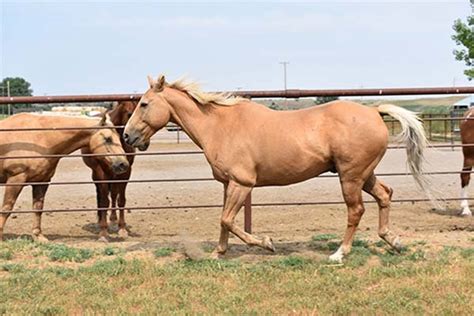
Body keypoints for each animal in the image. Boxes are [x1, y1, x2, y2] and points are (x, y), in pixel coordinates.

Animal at [0, 115, 130, 241]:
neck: (40, 137)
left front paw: (38, 236)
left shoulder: (42, 182)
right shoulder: (16, 179)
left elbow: (38, 208)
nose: (123, 164)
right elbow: (6, 208)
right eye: (108, 139)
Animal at [82, 100, 143, 238]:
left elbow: (121, 200)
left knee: (114, 194)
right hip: (96, 174)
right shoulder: (101, 172)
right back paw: (100, 220)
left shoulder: (126, 172)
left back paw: (114, 220)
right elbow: (104, 200)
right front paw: (103, 230)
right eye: (130, 113)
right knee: (100, 194)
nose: (142, 142)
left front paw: (122, 228)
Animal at [124, 74, 428, 262]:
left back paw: (339, 254)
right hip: (364, 175)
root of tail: (374, 111)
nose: (127, 136)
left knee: (356, 211)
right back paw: (394, 241)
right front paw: (219, 252)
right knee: (385, 194)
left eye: (144, 104)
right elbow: (224, 220)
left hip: (350, 177)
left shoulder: (242, 183)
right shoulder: (228, 184)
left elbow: (228, 220)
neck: (220, 126)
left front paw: (266, 243)